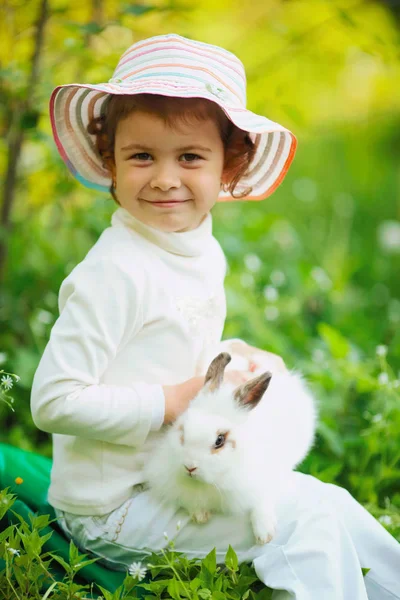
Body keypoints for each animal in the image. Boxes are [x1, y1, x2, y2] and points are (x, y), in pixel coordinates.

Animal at [142, 352, 318, 544]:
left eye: (219, 440)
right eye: (182, 431)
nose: (189, 467)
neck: (215, 481)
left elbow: (263, 500)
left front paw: (265, 534)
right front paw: (200, 515)